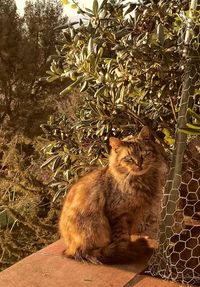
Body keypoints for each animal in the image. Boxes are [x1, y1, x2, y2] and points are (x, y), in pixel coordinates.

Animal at [58, 126, 166, 266]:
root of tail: (71, 248)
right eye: (129, 159)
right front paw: (125, 249)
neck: (142, 181)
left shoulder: (137, 213)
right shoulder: (118, 214)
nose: (139, 164)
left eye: (144, 154)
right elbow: (121, 237)